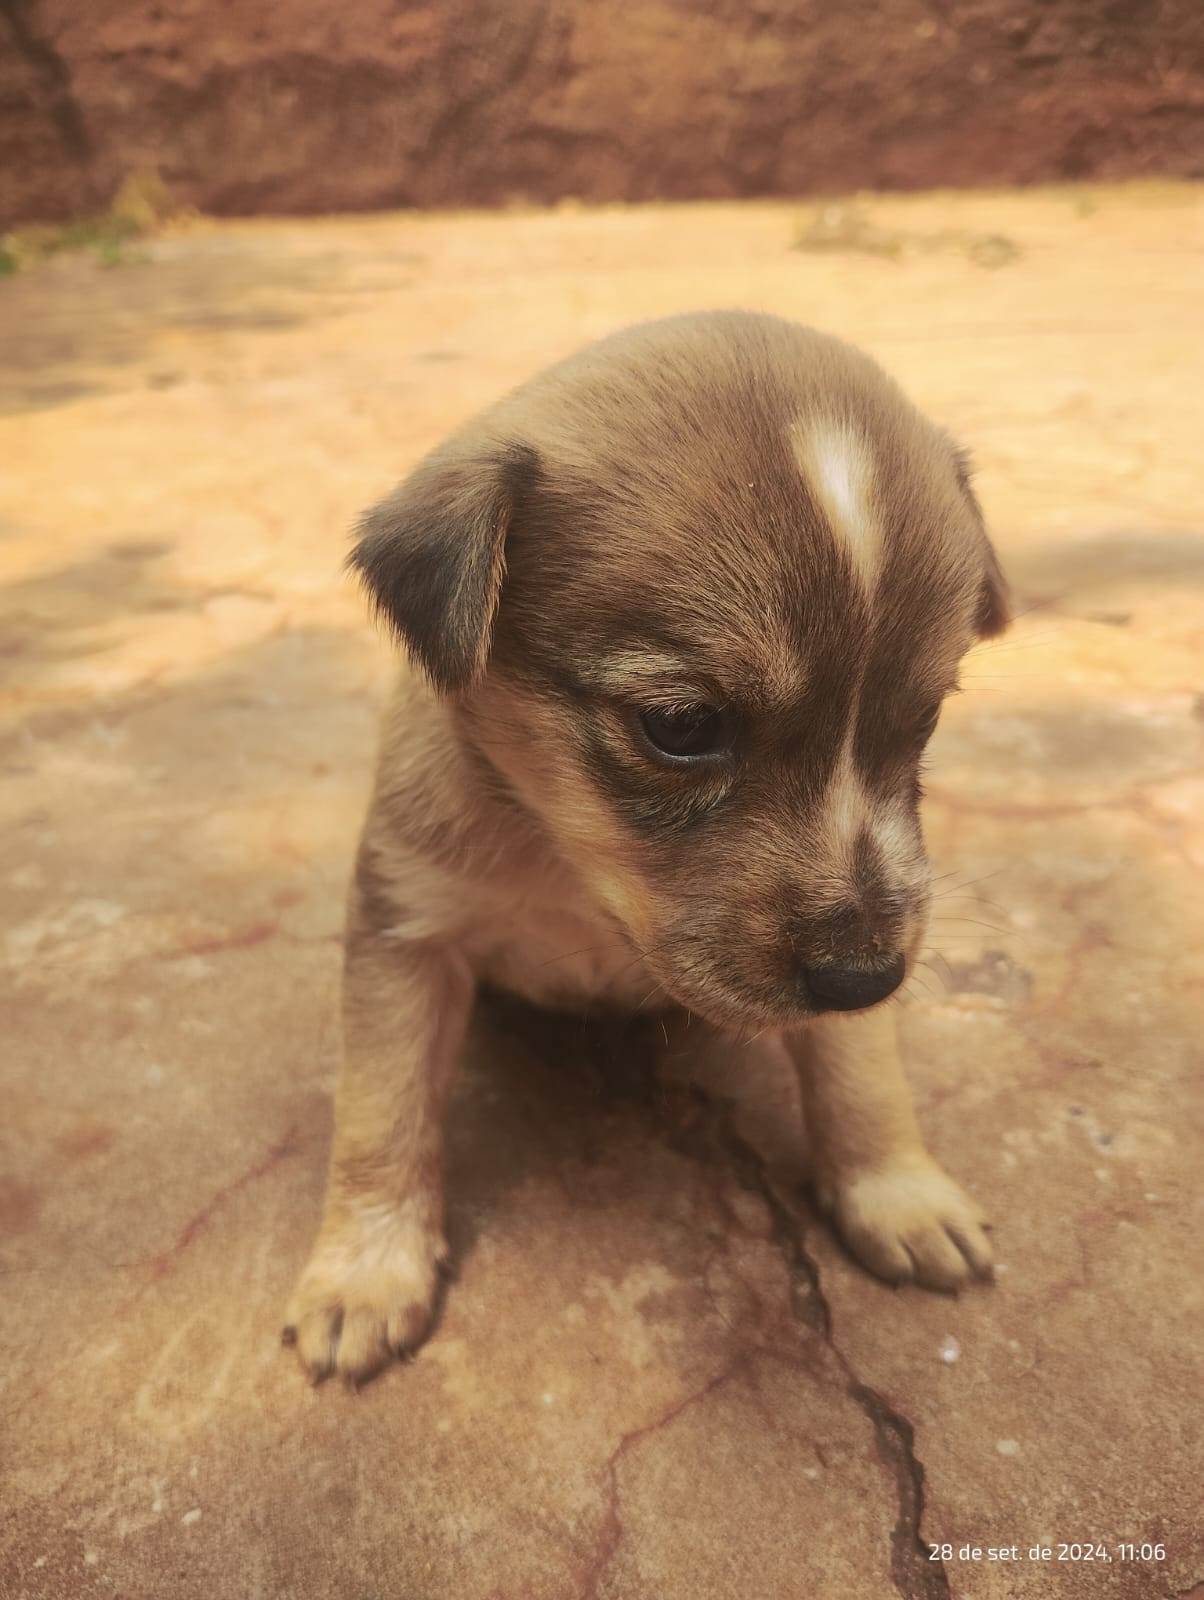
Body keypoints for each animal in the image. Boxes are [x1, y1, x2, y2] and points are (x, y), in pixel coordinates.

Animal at [286, 305, 1011, 1382]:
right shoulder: (405, 930)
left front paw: (899, 1191)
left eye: (923, 720)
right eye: (681, 724)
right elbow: (382, 1111)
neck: (572, 865)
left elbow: (861, 1075)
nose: (866, 977)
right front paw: (363, 1274)